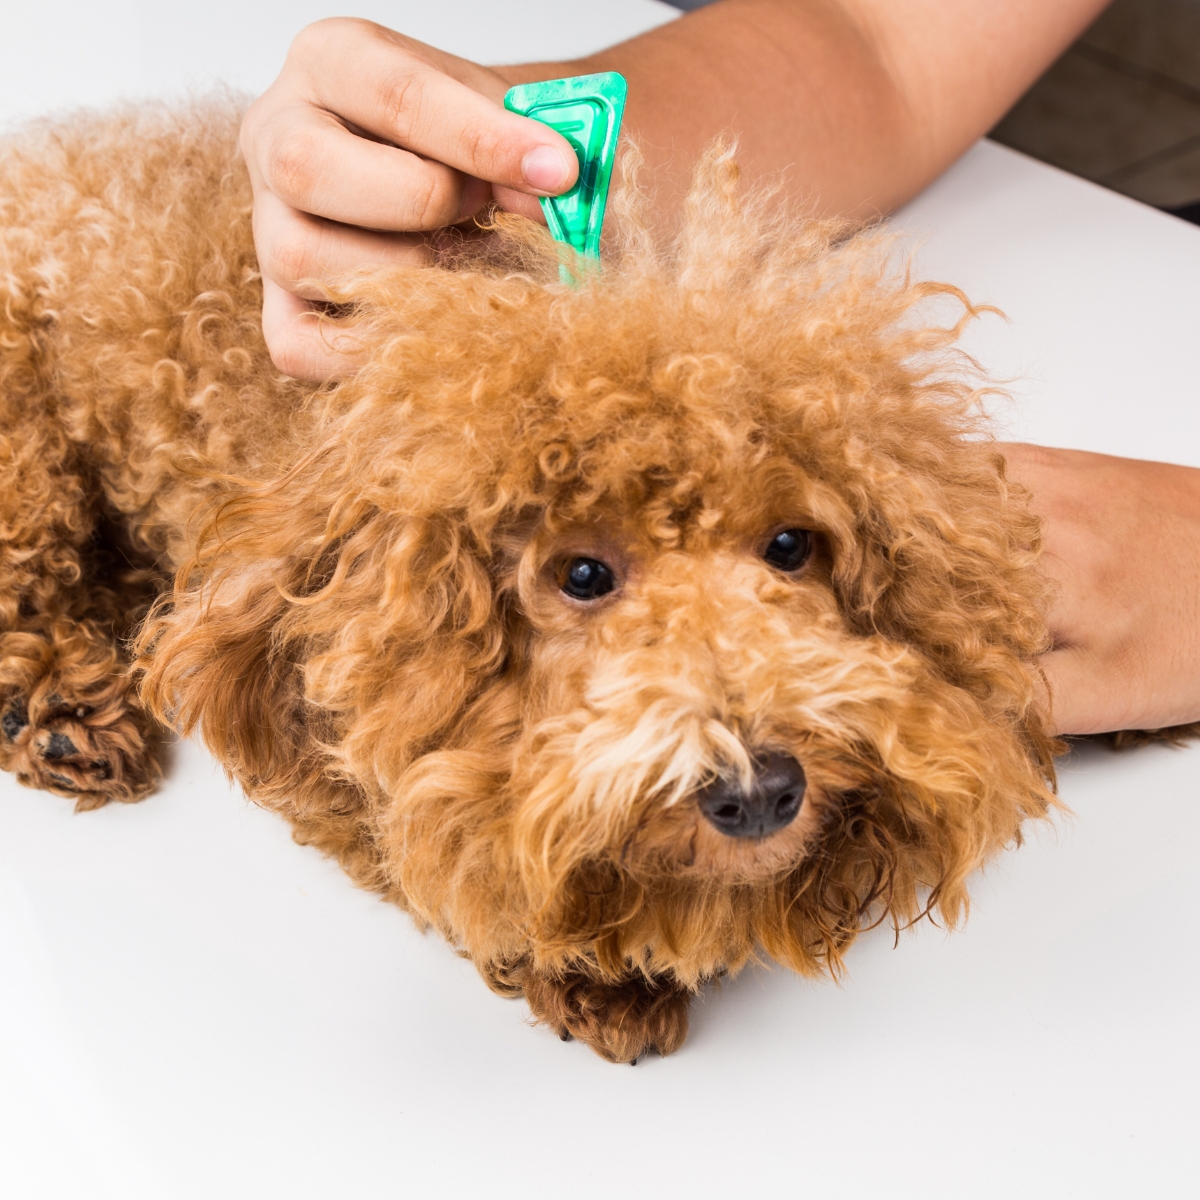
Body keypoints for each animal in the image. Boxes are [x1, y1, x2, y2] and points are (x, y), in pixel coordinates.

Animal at [0, 98, 1070, 1065]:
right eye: (583, 574)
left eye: (792, 546)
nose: (761, 791)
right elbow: (444, 842)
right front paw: (597, 961)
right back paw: (60, 714)